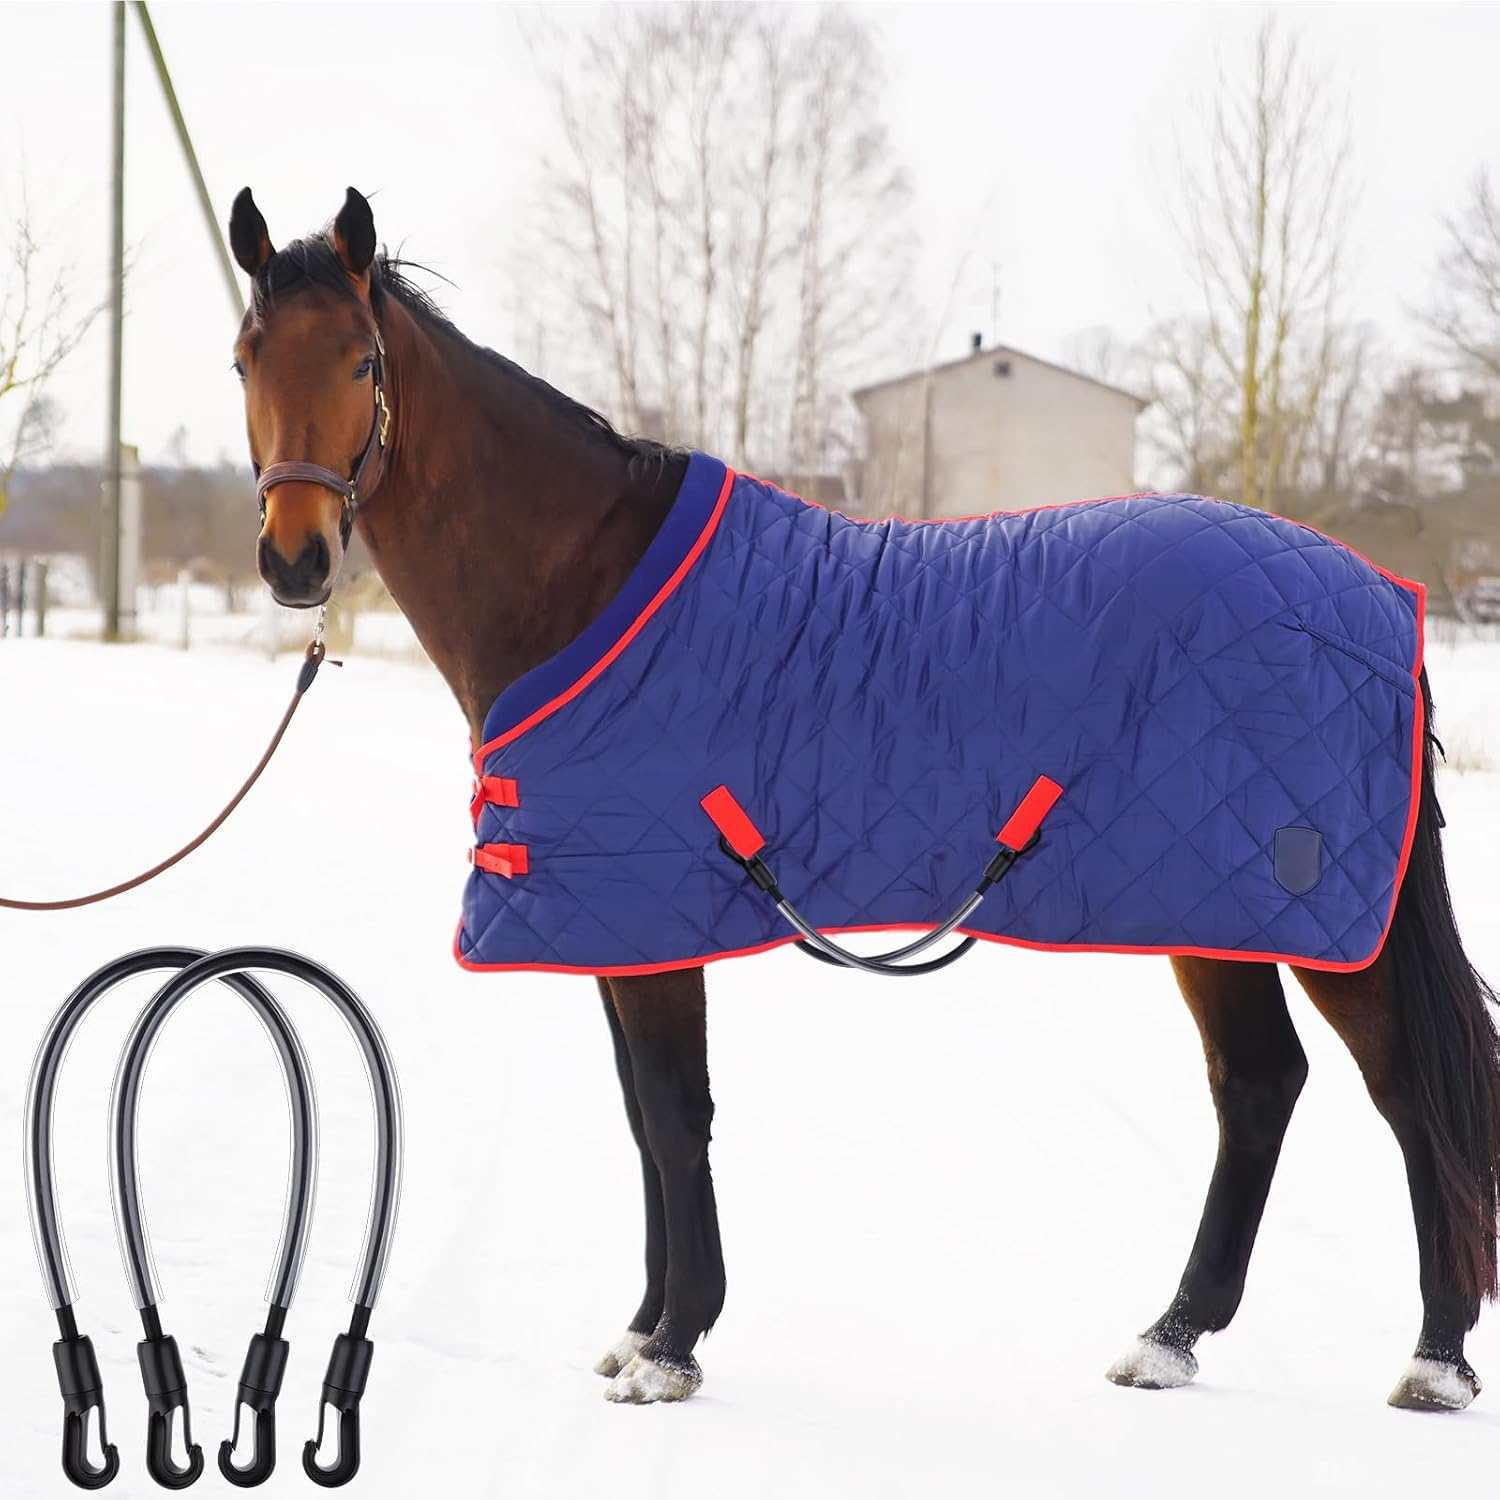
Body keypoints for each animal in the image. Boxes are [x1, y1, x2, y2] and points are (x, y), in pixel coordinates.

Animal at [226, 185, 1500, 1409]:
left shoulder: (650, 919)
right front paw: (644, 1328)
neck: (584, 583)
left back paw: (1435, 1359)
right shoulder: (613, 924)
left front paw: (673, 1349)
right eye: (245, 358)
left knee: (1407, 1095)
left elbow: (676, 1117)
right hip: (1211, 908)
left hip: (1311, 918)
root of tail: (1376, 598)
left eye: (361, 362)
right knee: (1260, 1085)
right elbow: (644, 1118)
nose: (292, 559)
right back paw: (1171, 1337)